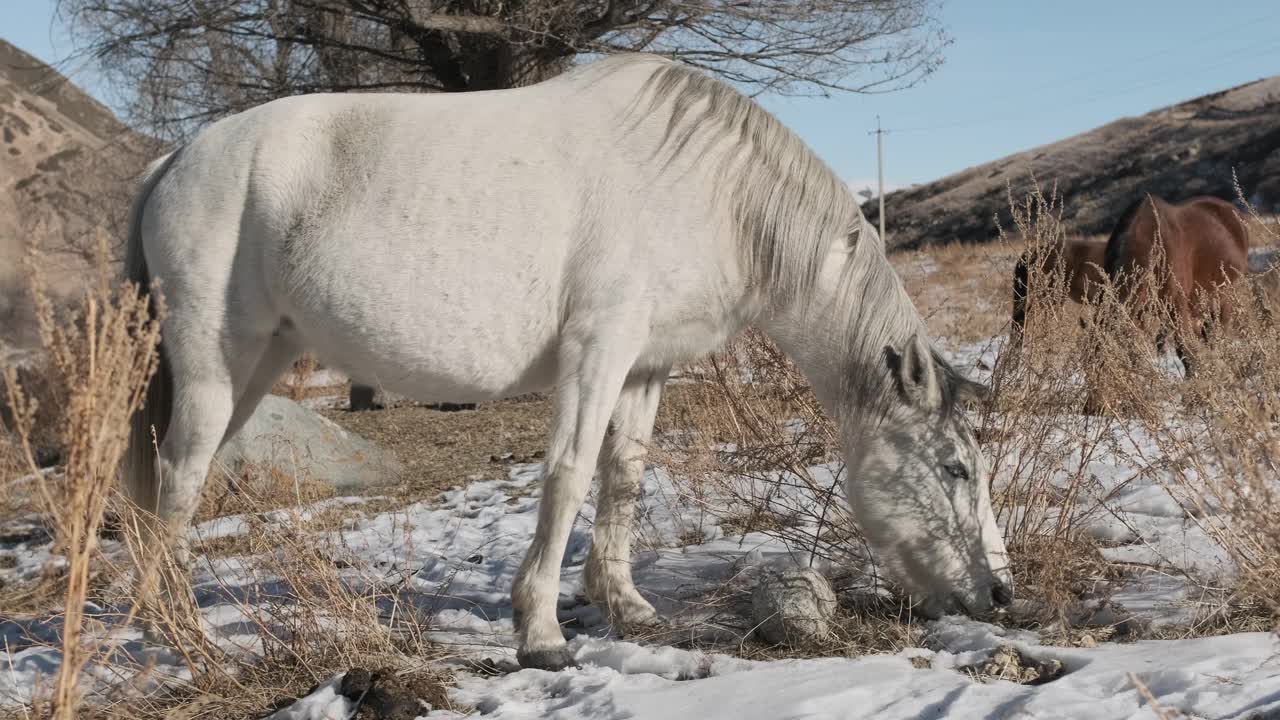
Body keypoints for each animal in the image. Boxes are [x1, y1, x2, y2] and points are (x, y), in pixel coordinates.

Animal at [124, 53, 1013, 671]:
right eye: (957, 469)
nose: (999, 594)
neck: (711, 193)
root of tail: (173, 161)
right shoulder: (600, 347)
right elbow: (569, 473)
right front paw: (543, 632)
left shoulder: (646, 364)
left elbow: (624, 473)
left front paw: (625, 605)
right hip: (214, 363)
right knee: (178, 478)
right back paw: (183, 634)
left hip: (259, 364)